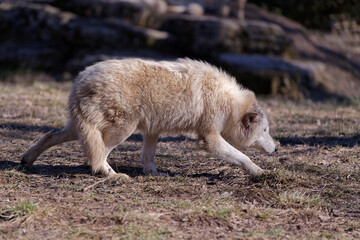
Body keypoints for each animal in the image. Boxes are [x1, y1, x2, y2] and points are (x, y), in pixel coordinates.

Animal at [21, 57, 278, 178]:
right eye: (265, 131)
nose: (276, 149)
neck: (228, 101)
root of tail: (79, 80)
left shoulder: (153, 130)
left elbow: (148, 155)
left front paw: (153, 173)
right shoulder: (209, 138)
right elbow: (242, 156)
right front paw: (259, 172)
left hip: (81, 129)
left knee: (49, 135)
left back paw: (27, 160)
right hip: (121, 131)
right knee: (100, 155)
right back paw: (112, 175)